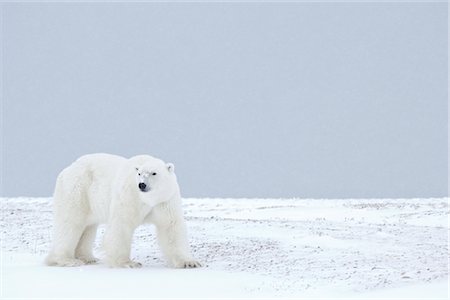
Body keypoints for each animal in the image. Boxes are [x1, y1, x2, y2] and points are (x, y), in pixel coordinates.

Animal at [45, 154, 200, 268]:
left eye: (154, 173)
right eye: (139, 174)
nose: (142, 185)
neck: (147, 199)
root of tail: (68, 168)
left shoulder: (164, 201)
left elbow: (170, 227)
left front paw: (189, 262)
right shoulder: (129, 195)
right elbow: (121, 224)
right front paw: (128, 263)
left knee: (88, 227)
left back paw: (88, 258)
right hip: (78, 190)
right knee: (70, 224)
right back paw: (67, 260)